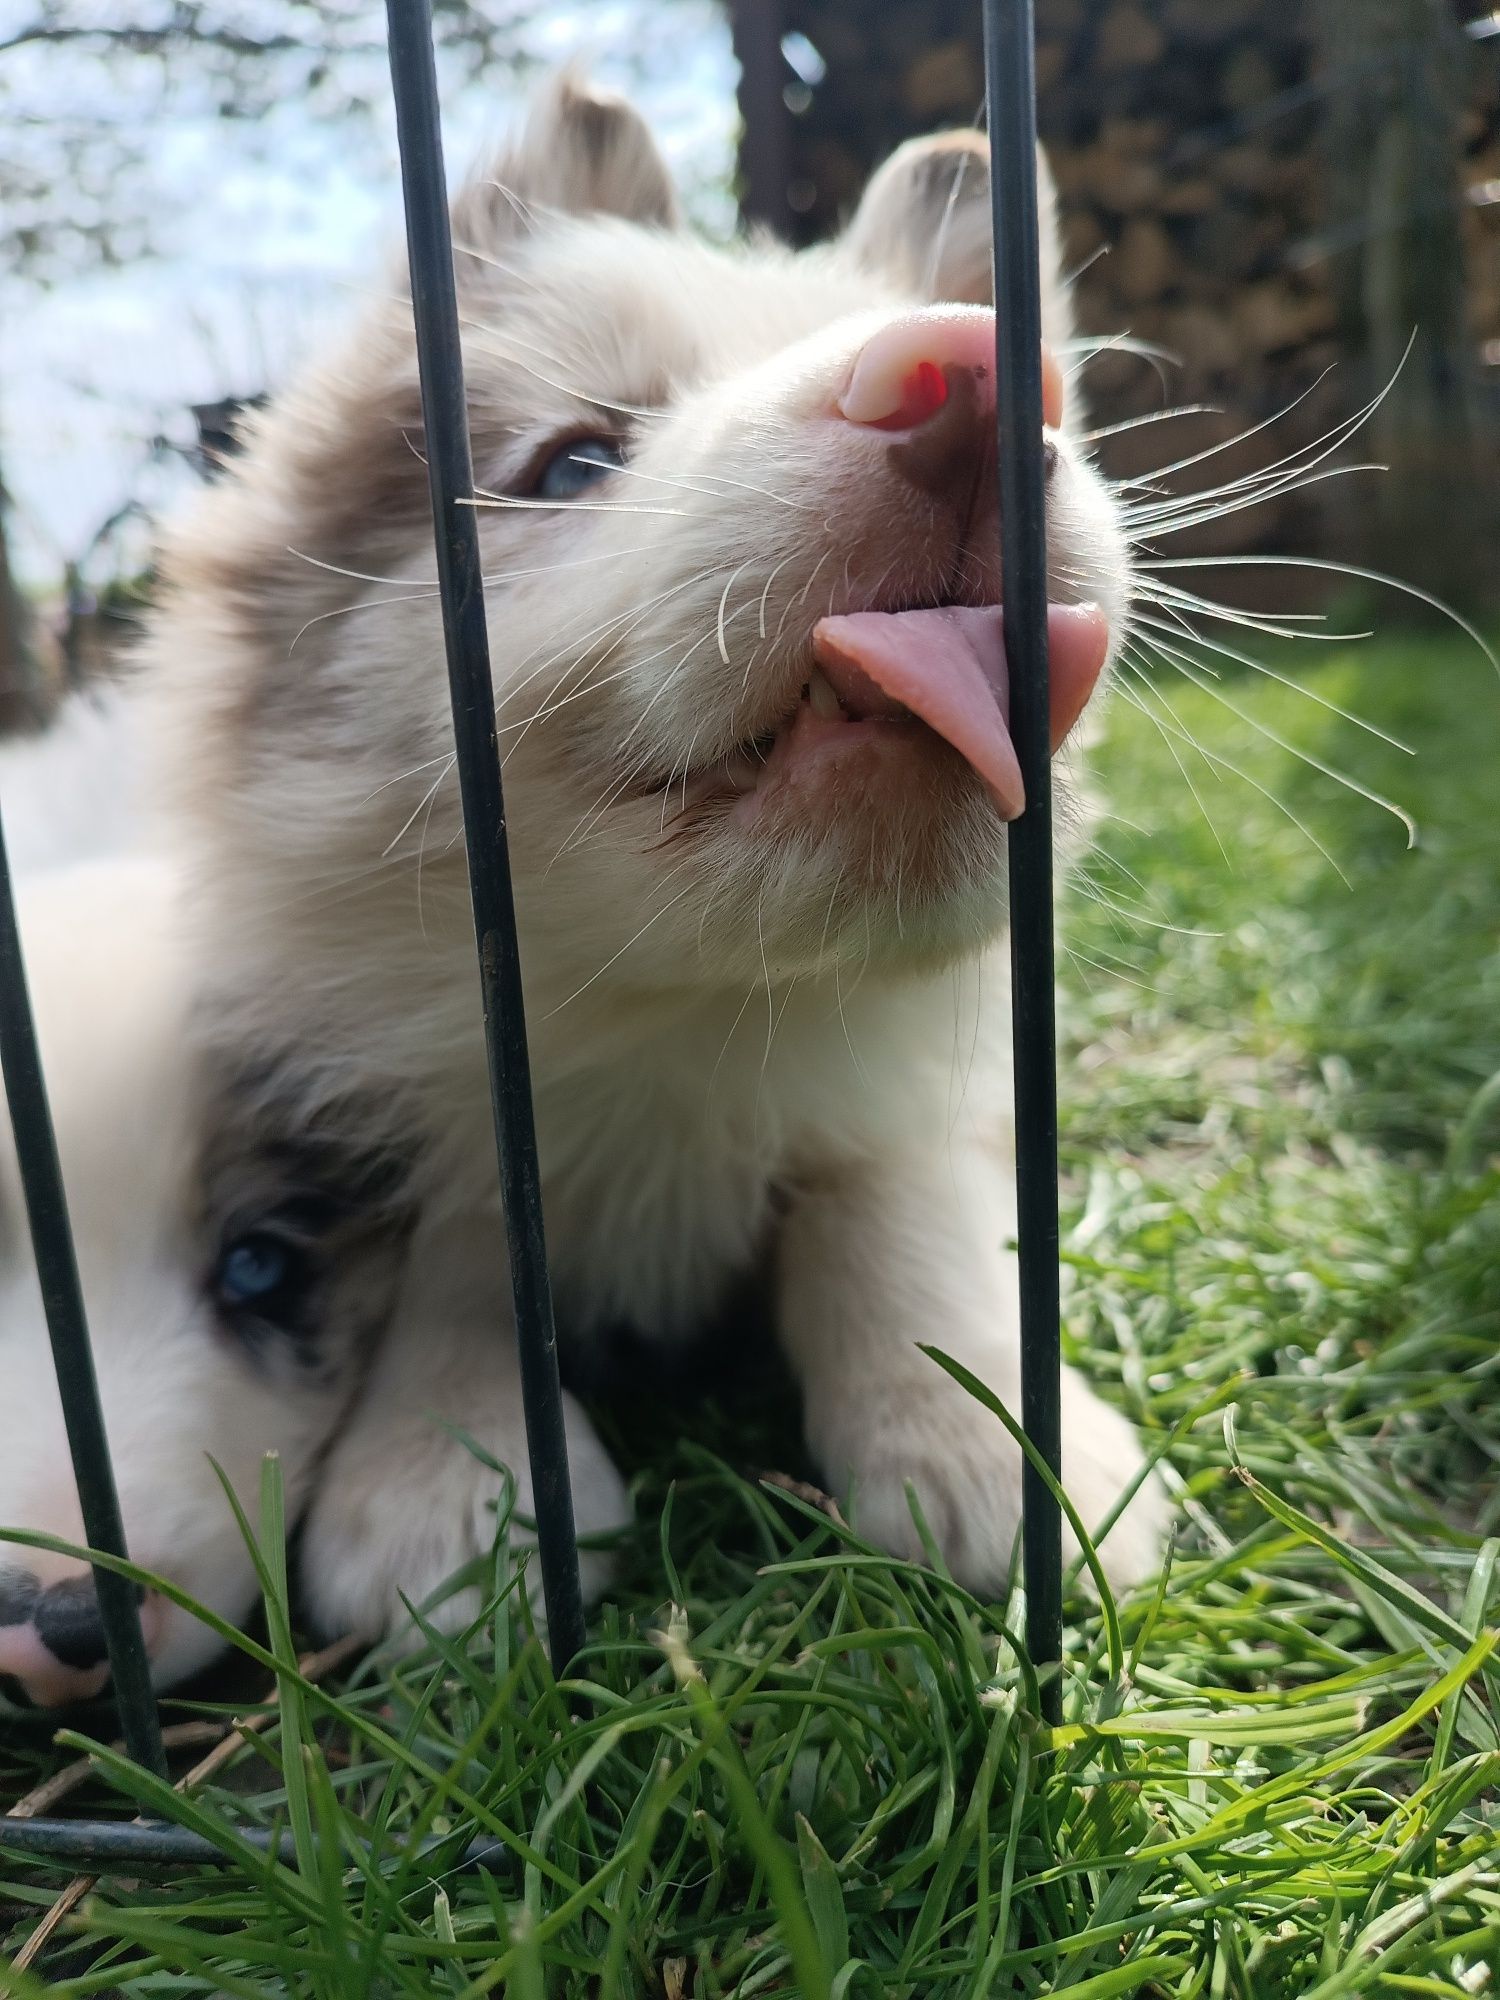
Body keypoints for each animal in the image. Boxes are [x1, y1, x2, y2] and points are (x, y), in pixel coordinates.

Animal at [144, 82, 1176, 1640]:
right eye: (573, 462)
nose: (976, 375)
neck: (693, 1023)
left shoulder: (927, 1098)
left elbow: (893, 1194)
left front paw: (992, 1438)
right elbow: (467, 1243)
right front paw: (454, 1481)